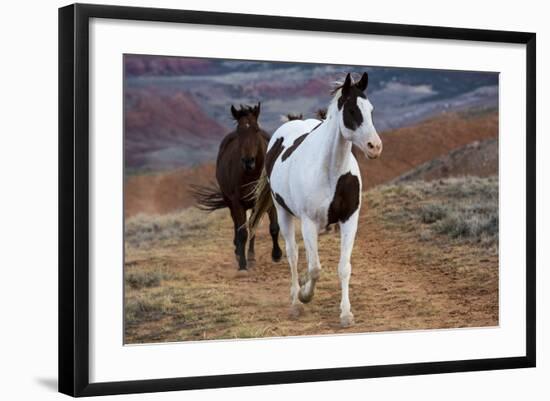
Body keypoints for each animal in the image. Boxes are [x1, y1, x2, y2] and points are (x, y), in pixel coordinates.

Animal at [192, 103, 282, 270]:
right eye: (239, 131)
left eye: (256, 129)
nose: (248, 161)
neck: (252, 174)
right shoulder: (237, 202)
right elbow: (242, 232)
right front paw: (242, 264)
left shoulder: (267, 199)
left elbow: (273, 227)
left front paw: (277, 254)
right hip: (230, 202)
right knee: (238, 226)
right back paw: (239, 253)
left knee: (252, 225)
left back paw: (251, 255)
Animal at [251, 73, 384, 324]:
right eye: (352, 110)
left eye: (371, 109)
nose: (375, 147)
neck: (331, 171)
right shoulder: (308, 221)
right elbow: (315, 268)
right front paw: (305, 296)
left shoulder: (349, 220)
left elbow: (344, 267)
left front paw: (346, 313)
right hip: (283, 213)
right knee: (293, 254)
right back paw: (295, 299)